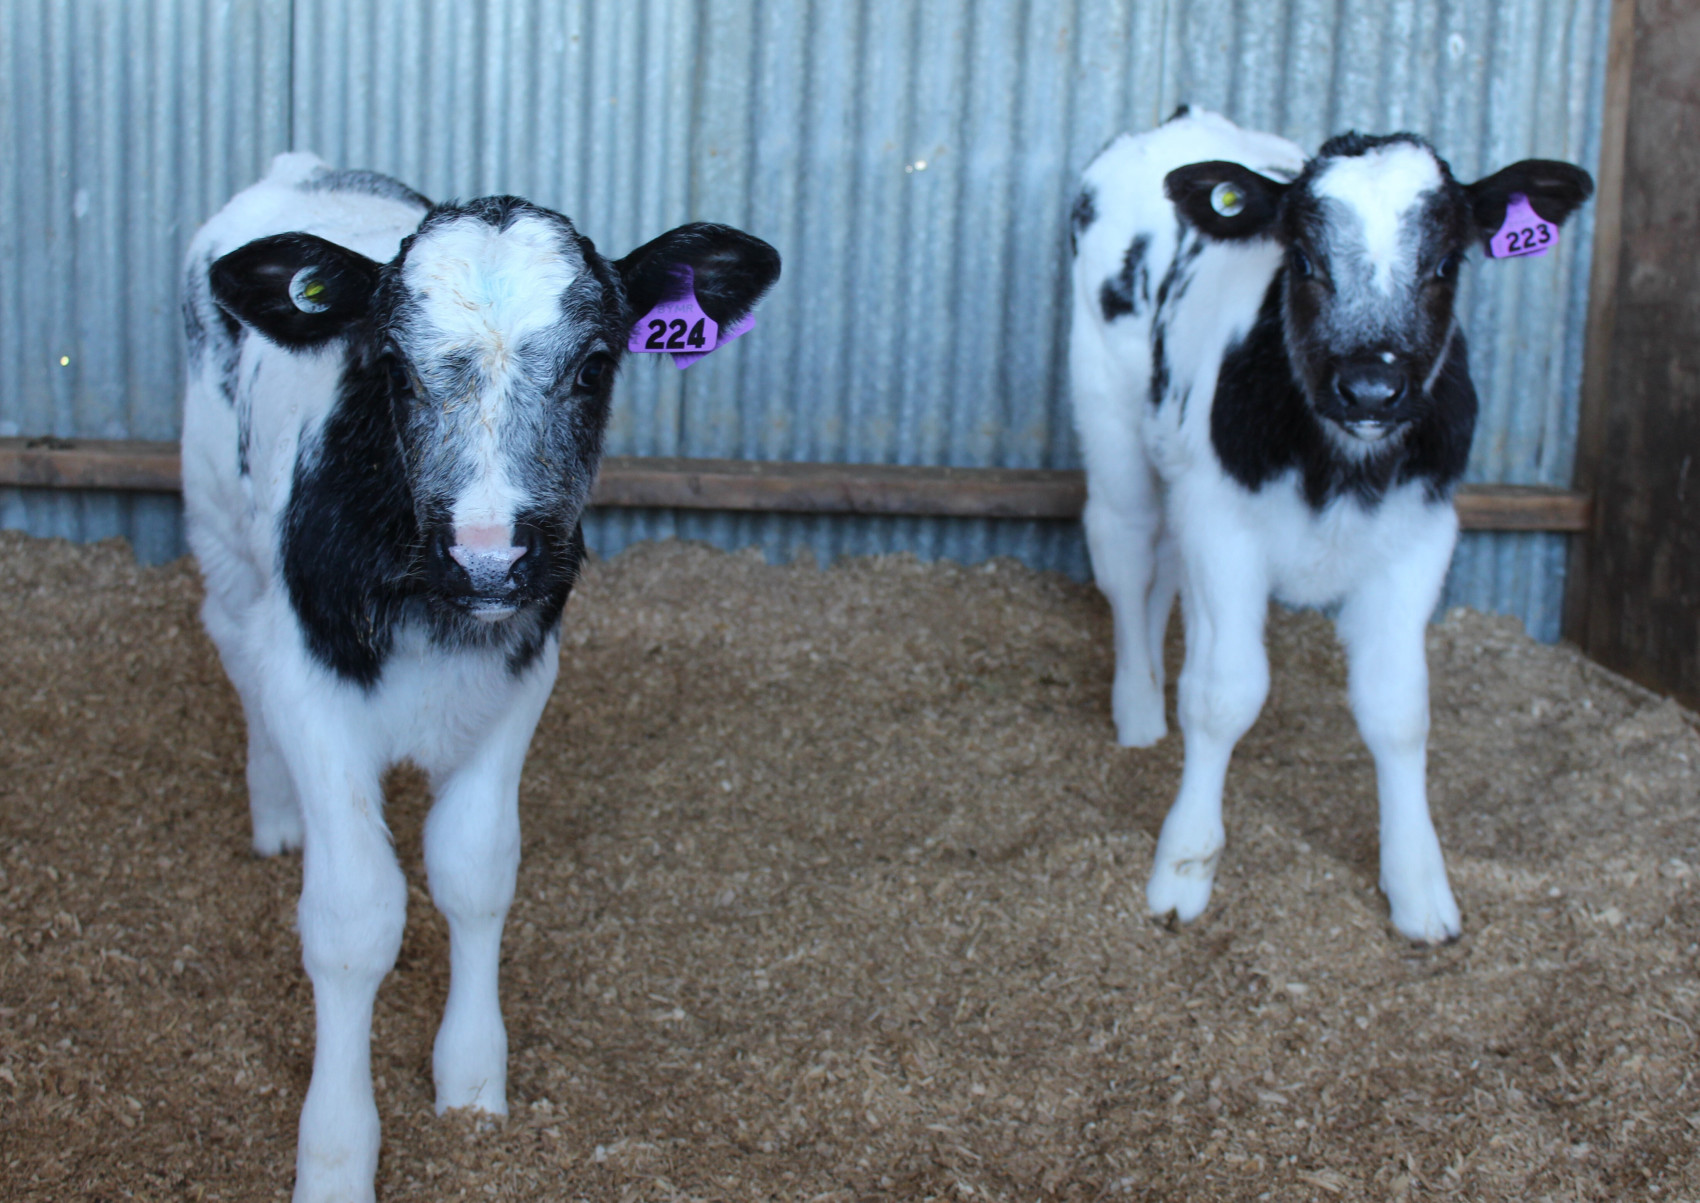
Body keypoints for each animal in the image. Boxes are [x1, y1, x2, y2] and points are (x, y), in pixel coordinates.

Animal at [179, 152, 778, 1203]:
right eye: (393, 366)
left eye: (593, 365)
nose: (491, 557)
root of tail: (305, 168)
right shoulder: (310, 680)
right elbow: (354, 916)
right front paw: (335, 1156)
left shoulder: (524, 665)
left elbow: (474, 870)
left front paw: (470, 1090)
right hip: (216, 521)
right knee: (233, 640)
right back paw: (276, 812)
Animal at [1074, 107, 1591, 944]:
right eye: (1306, 259)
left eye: (1444, 263)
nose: (1372, 386)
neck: (1338, 468)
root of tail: (1190, 119)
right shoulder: (1224, 522)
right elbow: (1224, 692)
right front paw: (1183, 868)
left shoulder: (1421, 534)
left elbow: (1398, 709)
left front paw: (1418, 887)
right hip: (1110, 411)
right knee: (1125, 552)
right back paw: (1140, 712)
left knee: (1163, 570)